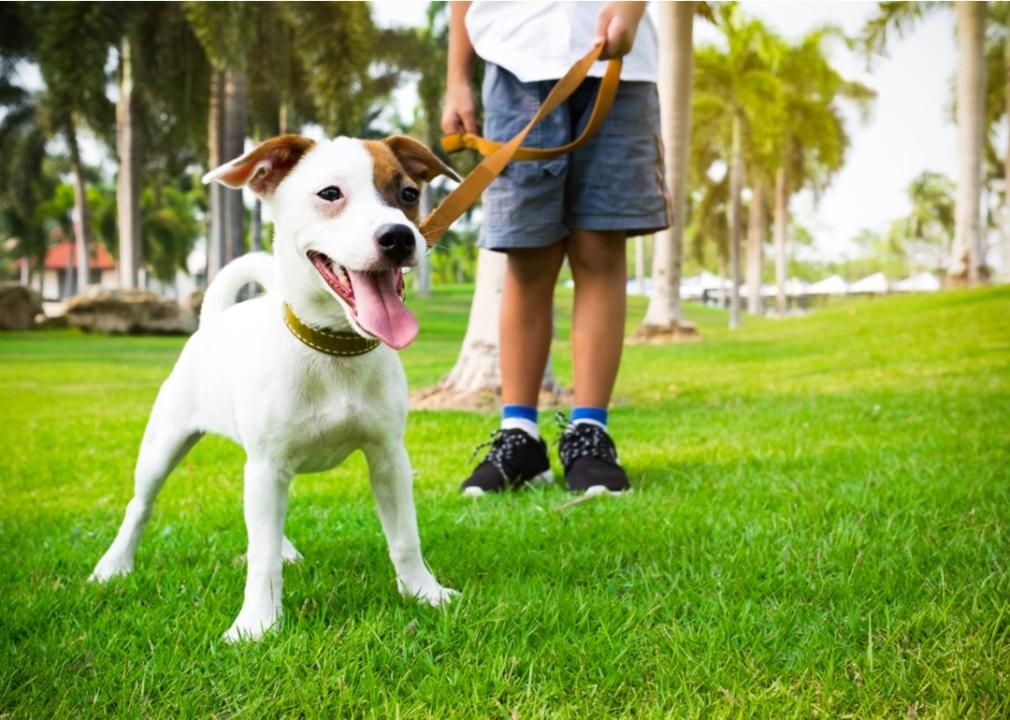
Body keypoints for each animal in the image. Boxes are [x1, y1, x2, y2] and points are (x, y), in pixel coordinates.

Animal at [90, 133, 462, 642]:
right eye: (330, 193)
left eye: (408, 193)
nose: (399, 237)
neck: (333, 349)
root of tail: (213, 321)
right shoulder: (267, 465)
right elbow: (260, 557)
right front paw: (257, 623)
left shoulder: (389, 458)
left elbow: (405, 536)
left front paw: (424, 593)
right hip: (165, 445)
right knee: (140, 506)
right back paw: (115, 564)